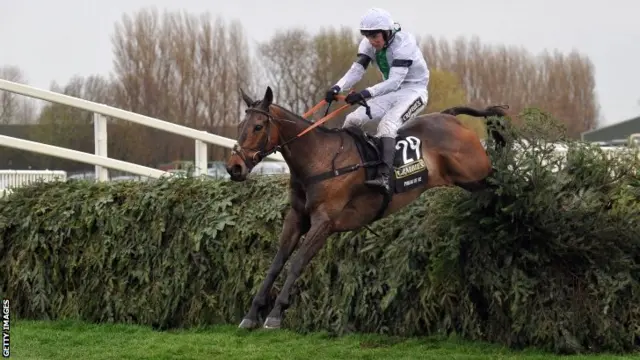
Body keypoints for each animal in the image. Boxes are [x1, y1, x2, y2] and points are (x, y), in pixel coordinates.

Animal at [222, 86, 508, 330]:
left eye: (258, 126)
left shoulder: (324, 223)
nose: (234, 167)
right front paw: (251, 314)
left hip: (476, 174)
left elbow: (297, 262)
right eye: (240, 126)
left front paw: (275, 314)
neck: (319, 158)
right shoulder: (296, 218)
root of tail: (449, 117)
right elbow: (277, 262)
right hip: (468, 181)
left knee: (500, 183)